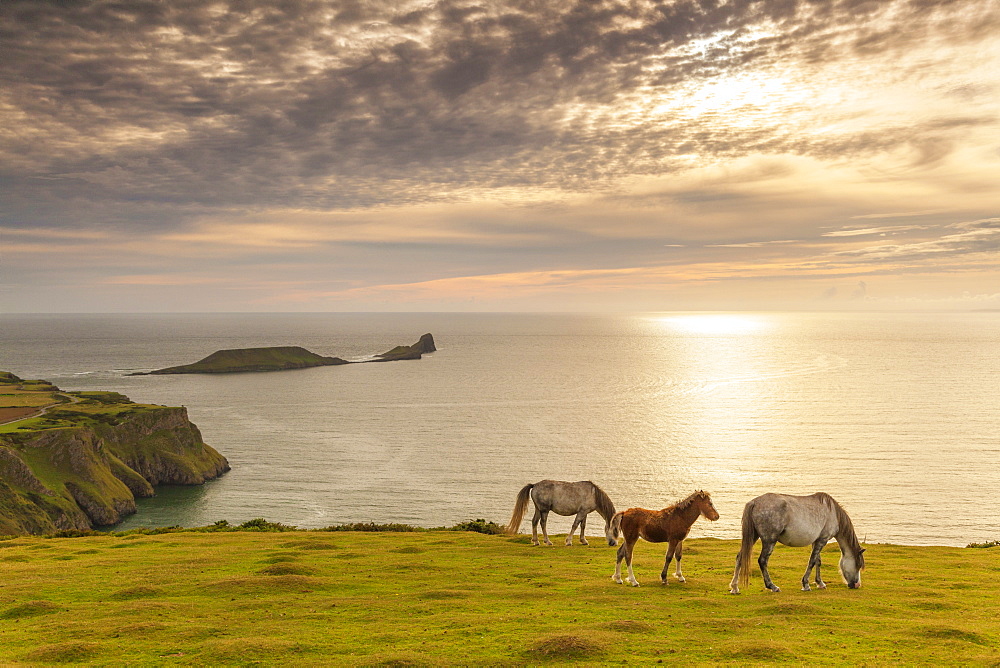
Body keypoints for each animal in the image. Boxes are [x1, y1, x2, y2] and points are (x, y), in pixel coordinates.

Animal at [732, 490, 864, 596]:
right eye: (858, 565)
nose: (857, 585)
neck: (833, 513)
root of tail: (754, 502)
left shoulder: (817, 540)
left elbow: (818, 561)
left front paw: (820, 583)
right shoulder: (823, 540)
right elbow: (812, 562)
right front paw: (806, 585)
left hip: (753, 537)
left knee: (740, 557)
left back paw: (734, 588)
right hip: (769, 540)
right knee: (763, 561)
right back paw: (772, 586)